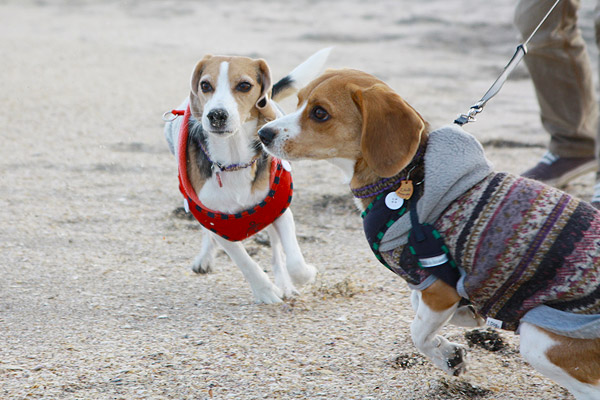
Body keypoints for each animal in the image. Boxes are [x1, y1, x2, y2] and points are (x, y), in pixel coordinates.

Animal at [163, 49, 332, 304]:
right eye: (205, 85)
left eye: (244, 85)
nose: (216, 115)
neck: (233, 161)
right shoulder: (217, 222)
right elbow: (245, 262)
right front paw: (266, 292)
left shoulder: (279, 209)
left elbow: (294, 262)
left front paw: (304, 275)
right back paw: (205, 259)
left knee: (277, 254)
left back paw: (285, 285)